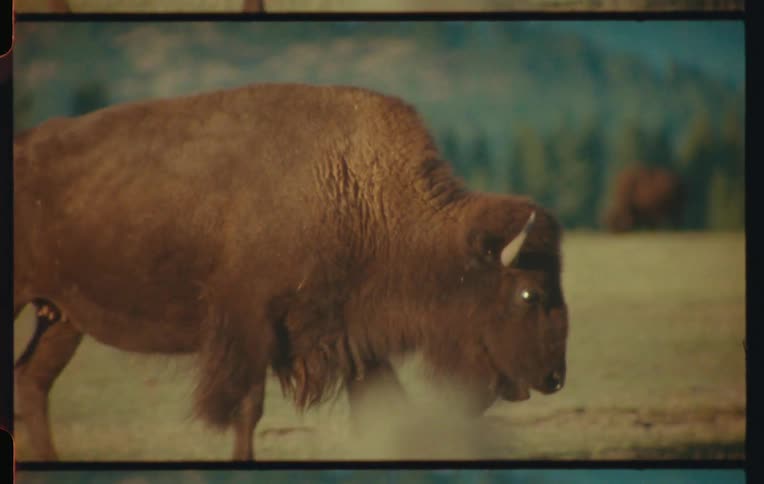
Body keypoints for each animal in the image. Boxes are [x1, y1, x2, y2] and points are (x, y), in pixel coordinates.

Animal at [14, 83, 568, 461]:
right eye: (528, 295)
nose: (555, 377)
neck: (359, 193)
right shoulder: (250, 329)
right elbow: (246, 407)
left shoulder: (349, 334)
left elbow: (382, 402)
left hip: (62, 317)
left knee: (32, 380)